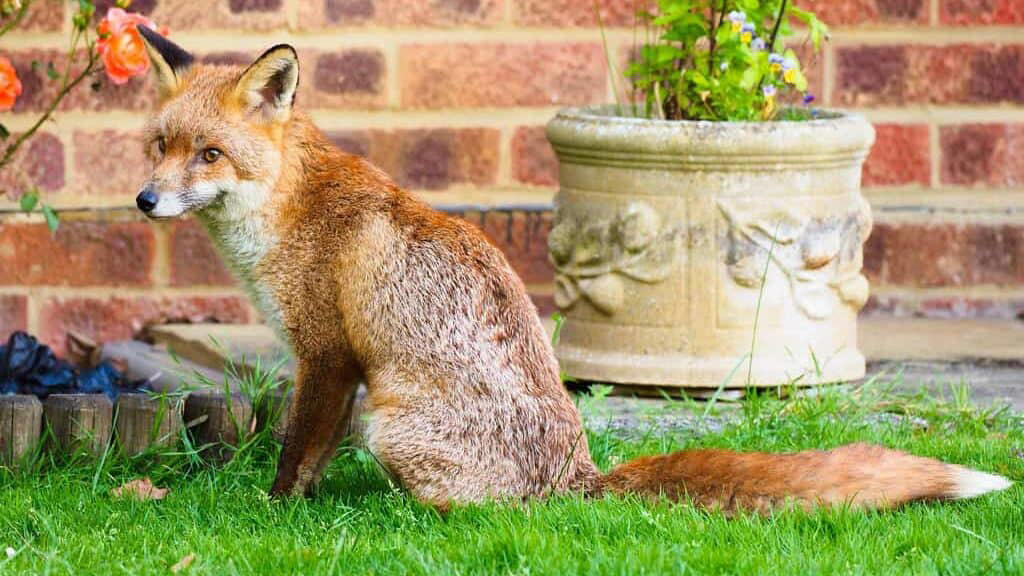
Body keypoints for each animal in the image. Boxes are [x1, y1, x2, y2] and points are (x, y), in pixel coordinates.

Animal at [133, 26, 1011, 513]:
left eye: (209, 155)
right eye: (158, 146)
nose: (144, 200)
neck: (287, 208)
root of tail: (579, 480)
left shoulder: (327, 354)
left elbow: (296, 456)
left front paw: (275, 515)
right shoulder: (329, 361)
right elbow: (308, 460)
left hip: (384, 421)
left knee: (481, 513)